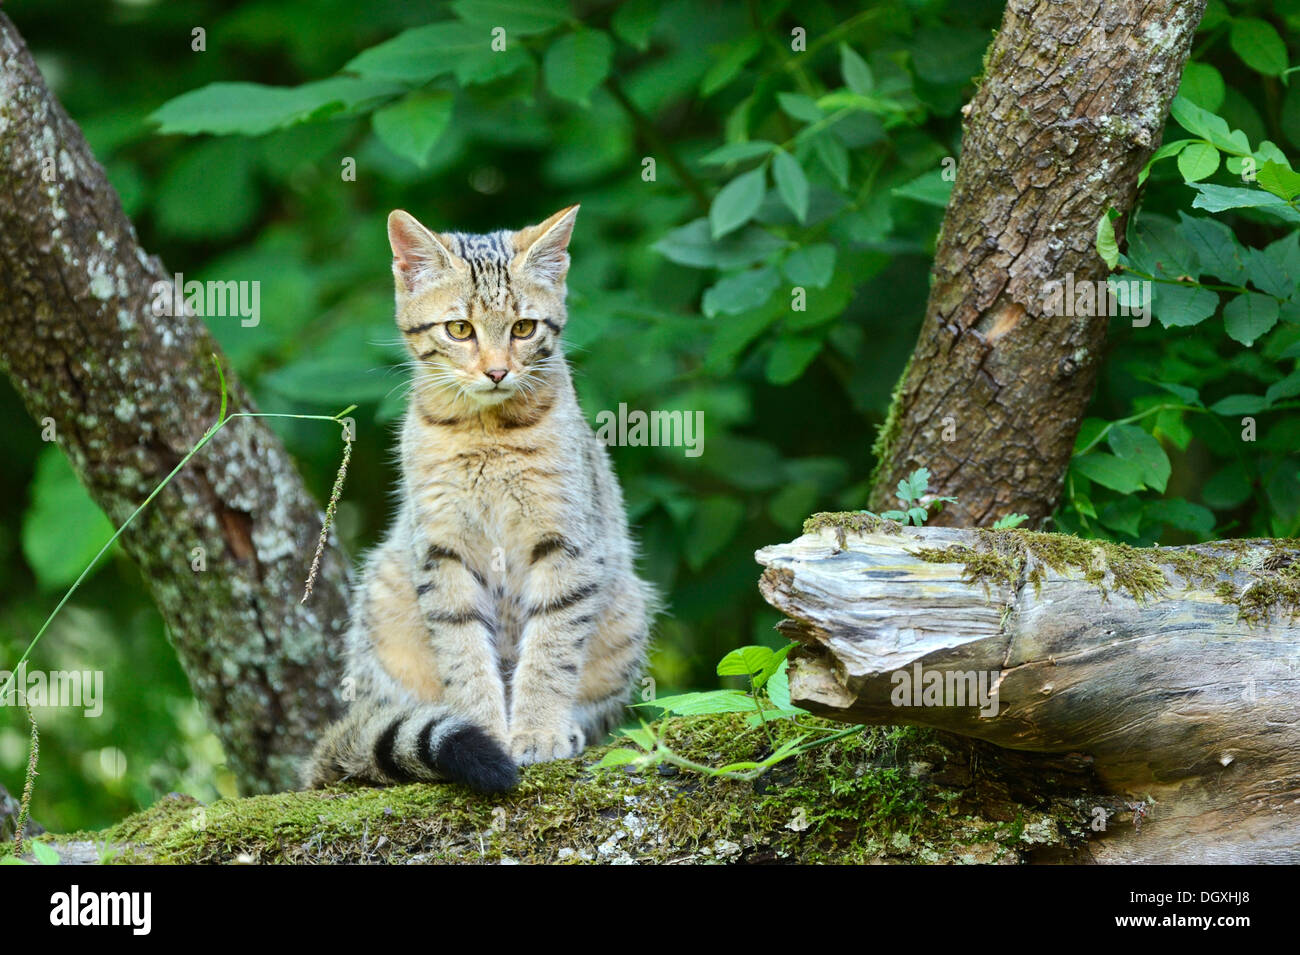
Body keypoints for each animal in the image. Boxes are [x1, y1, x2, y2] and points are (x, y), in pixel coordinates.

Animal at [300, 203, 655, 789]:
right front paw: (488, 729)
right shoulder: (442, 551)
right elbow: (463, 654)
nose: (496, 370)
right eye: (460, 329)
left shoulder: (568, 544)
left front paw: (538, 730)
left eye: (524, 328)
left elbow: (551, 647)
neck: (486, 432)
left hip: (628, 607)